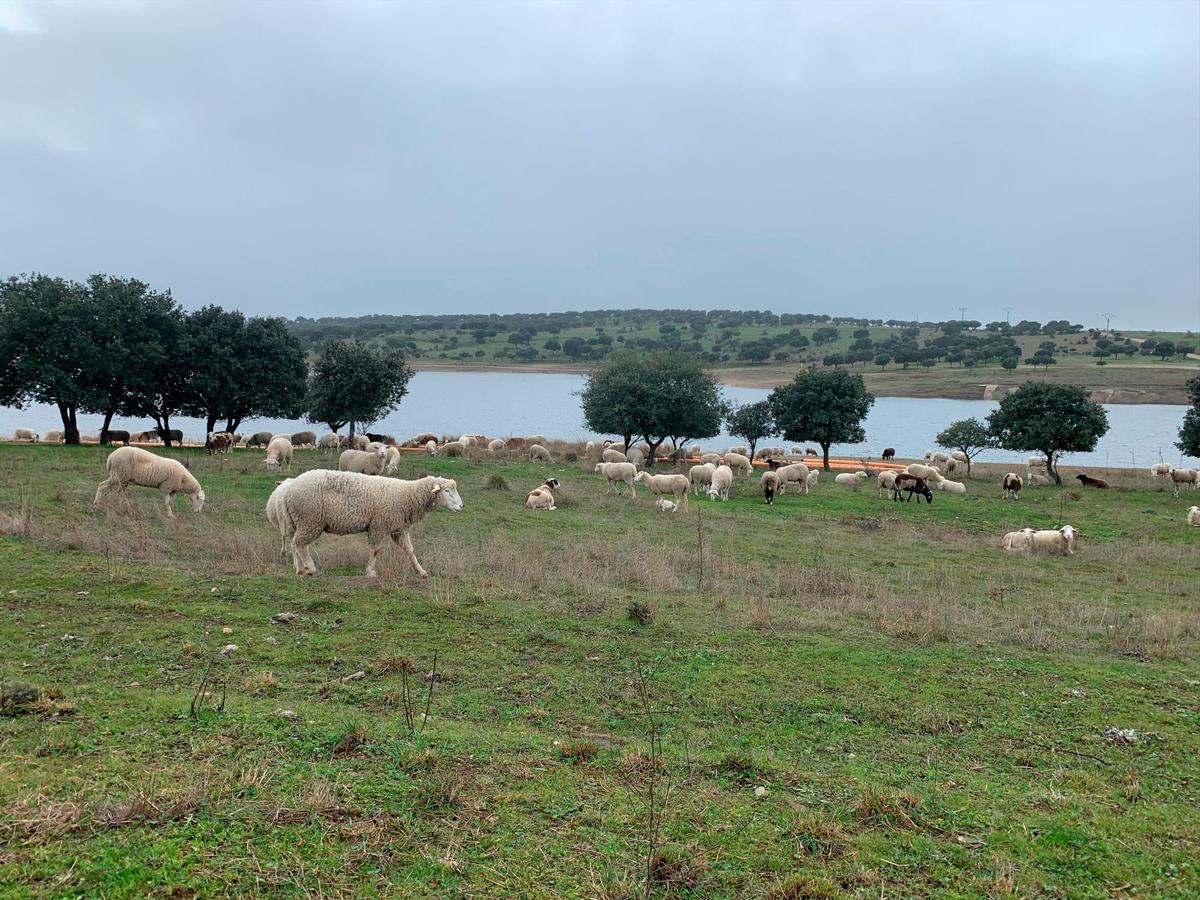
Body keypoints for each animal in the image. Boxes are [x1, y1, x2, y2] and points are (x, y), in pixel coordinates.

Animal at [277, 472, 463, 578]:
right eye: (447, 491)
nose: (461, 506)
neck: (407, 495)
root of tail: (287, 490)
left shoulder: (399, 528)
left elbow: (409, 550)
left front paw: (421, 571)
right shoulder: (379, 525)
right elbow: (375, 550)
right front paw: (371, 572)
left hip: (302, 522)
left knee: (296, 544)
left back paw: (300, 569)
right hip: (310, 519)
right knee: (299, 544)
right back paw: (309, 568)